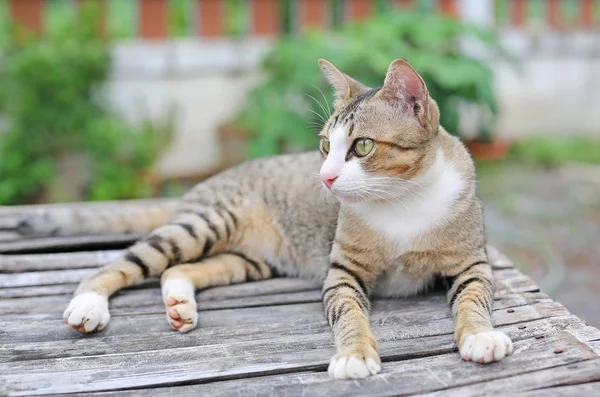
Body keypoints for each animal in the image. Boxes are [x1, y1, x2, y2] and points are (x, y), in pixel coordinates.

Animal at [62, 58, 510, 378]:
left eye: (363, 146)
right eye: (326, 145)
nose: (325, 177)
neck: (404, 200)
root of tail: (203, 183)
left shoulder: (472, 262)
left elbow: (474, 298)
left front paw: (481, 336)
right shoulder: (342, 271)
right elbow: (348, 312)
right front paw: (354, 354)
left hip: (251, 259)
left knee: (179, 268)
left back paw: (180, 304)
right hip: (208, 222)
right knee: (125, 262)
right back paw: (88, 305)